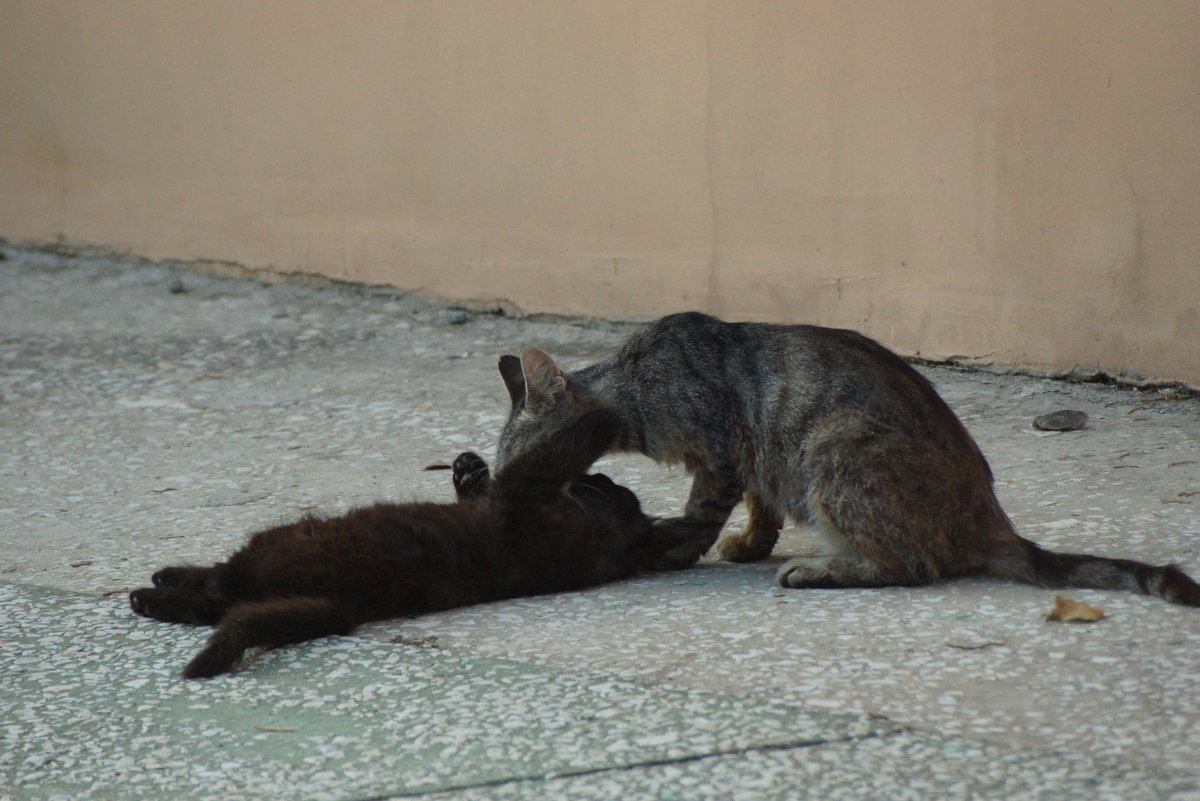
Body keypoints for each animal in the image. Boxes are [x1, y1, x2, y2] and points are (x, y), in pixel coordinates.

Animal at [132, 410, 676, 681]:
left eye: (606, 487)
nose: (600, 479)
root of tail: (339, 603)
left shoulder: (528, 487)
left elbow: (563, 443)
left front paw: (605, 412)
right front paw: (467, 469)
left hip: (270, 548)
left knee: (217, 591)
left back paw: (152, 594)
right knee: (215, 596)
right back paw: (159, 584)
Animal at [494, 309, 1200, 604]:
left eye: (514, 466)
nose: (497, 491)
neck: (635, 389)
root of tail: (989, 516)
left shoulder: (720, 451)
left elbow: (700, 513)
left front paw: (674, 548)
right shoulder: (758, 456)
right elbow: (762, 507)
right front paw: (749, 542)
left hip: (835, 442)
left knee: (914, 566)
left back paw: (820, 571)